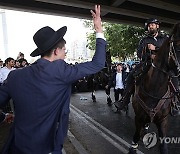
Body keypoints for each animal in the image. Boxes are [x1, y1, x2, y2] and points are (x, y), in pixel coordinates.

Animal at [129, 23, 180, 154]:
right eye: (177, 47)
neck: (154, 90)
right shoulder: (138, 118)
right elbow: (135, 140)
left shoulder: (163, 120)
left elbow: (163, 146)